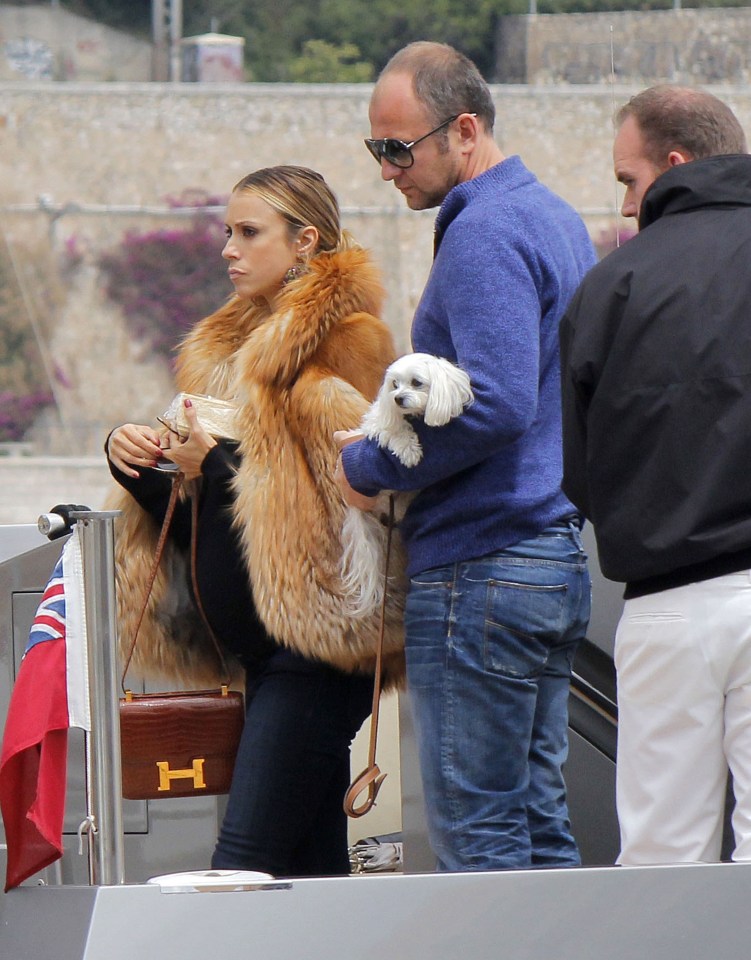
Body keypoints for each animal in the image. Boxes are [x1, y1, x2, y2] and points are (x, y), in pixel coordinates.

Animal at [340, 352, 470, 616]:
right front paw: (409, 449)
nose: (397, 398)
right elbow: (395, 429)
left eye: (416, 382)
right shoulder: (376, 426)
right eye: (394, 384)